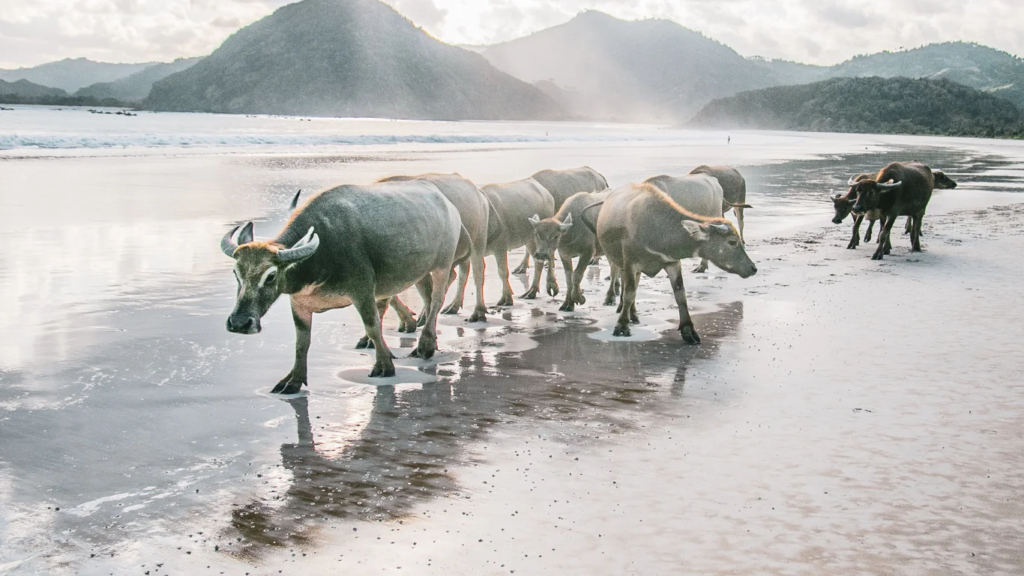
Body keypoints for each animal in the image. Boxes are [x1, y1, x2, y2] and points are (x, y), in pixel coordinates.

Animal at [224, 178, 468, 389]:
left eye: (271, 276)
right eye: (236, 273)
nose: (239, 323)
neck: (321, 252)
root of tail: (449, 206)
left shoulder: (362, 290)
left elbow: (372, 326)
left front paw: (384, 366)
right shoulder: (299, 303)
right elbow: (302, 342)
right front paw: (293, 380)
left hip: (442, 264)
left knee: (436, 300)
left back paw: (425, 346)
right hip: (419, 272)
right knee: (426, 298)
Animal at [481, 177, 557, 305]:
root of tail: (547, 194)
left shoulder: (500, 248)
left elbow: (502, 272)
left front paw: (506, 298)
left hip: (536, 241)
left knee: (541, 261)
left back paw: (533, 291)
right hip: (529, 241)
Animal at [598, 180, 757, 340]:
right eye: (732, 242)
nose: (753, 268)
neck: (656, 229)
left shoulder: (672, 263)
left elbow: (680, 294)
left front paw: (688, 330)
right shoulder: (630, 264)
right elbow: (629, 293)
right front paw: (622, 326)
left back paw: (634, 315)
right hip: (617, 261)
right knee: (624, 283)